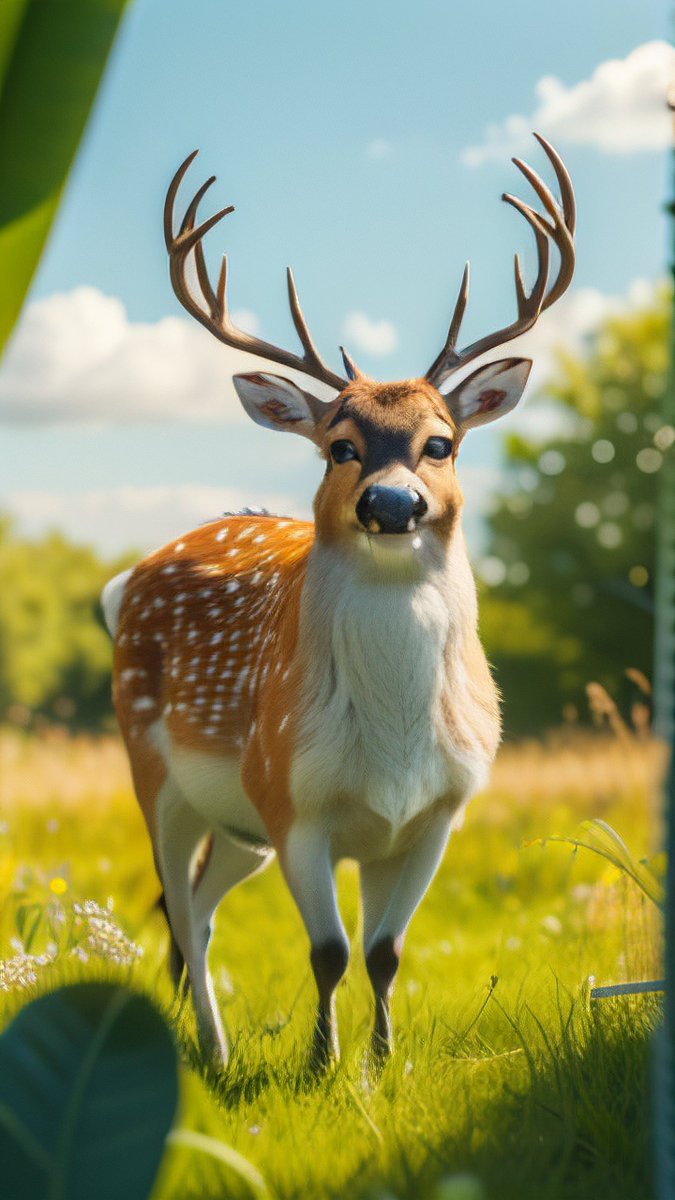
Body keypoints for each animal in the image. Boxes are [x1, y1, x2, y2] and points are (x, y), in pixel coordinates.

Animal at [102, 134, 575, 1073]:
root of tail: (126, 580)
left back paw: (216, 1046)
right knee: (179, 909)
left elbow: (386, 952)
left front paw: (380, 1064)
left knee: (199, 907)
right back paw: (214, 1053)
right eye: (338, 447)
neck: (390, 750)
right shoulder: (293, 797)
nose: (391, 504)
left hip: (237, 826)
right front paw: (321, 1066)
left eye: (441, 442)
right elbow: (326, 951)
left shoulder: (438, 812)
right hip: (155, 768)